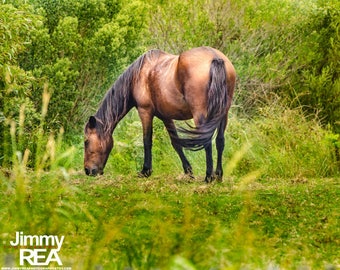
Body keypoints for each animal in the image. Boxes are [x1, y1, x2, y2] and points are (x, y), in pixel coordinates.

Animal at [83, 46, 235, 182]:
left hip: (200, 115)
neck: (139, 75)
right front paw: (188, 172)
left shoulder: (145, 112)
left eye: (86, 141)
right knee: (220, 141)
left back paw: (208, 177)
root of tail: (215, 58)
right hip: (223, 114)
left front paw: (145, 171)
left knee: (207, 141)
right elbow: (176, 143)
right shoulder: (166, 117)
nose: (88, 170)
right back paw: (218, 176)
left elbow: (147, 141)